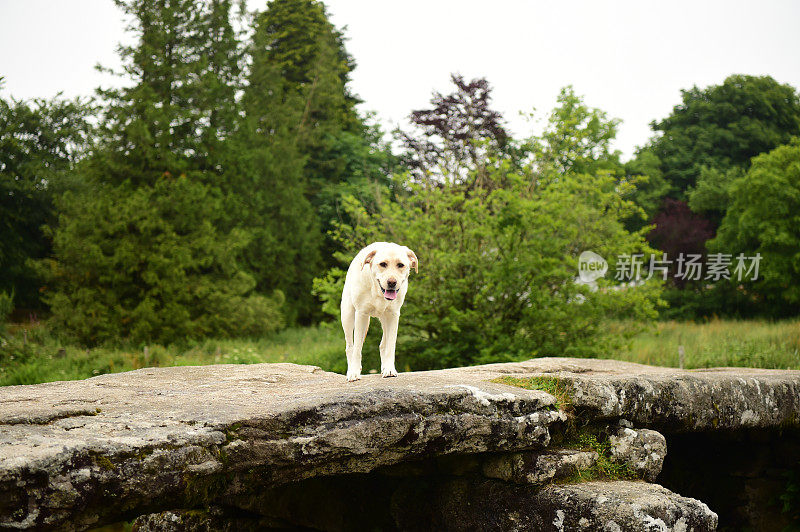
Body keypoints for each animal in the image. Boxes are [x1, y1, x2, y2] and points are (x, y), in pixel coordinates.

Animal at [340, 241, 418, 382]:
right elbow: (357, 348)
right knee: (350, 346)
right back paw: (350, 369)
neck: (377, 291)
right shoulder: (361, 315)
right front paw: (354, 372)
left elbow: (390, 345)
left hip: (385, 318)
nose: (392, 282)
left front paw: (390, 369)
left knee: (383, 344)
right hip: (347, 315)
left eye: (400, 265)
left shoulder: (393, 315)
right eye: (383, 264)